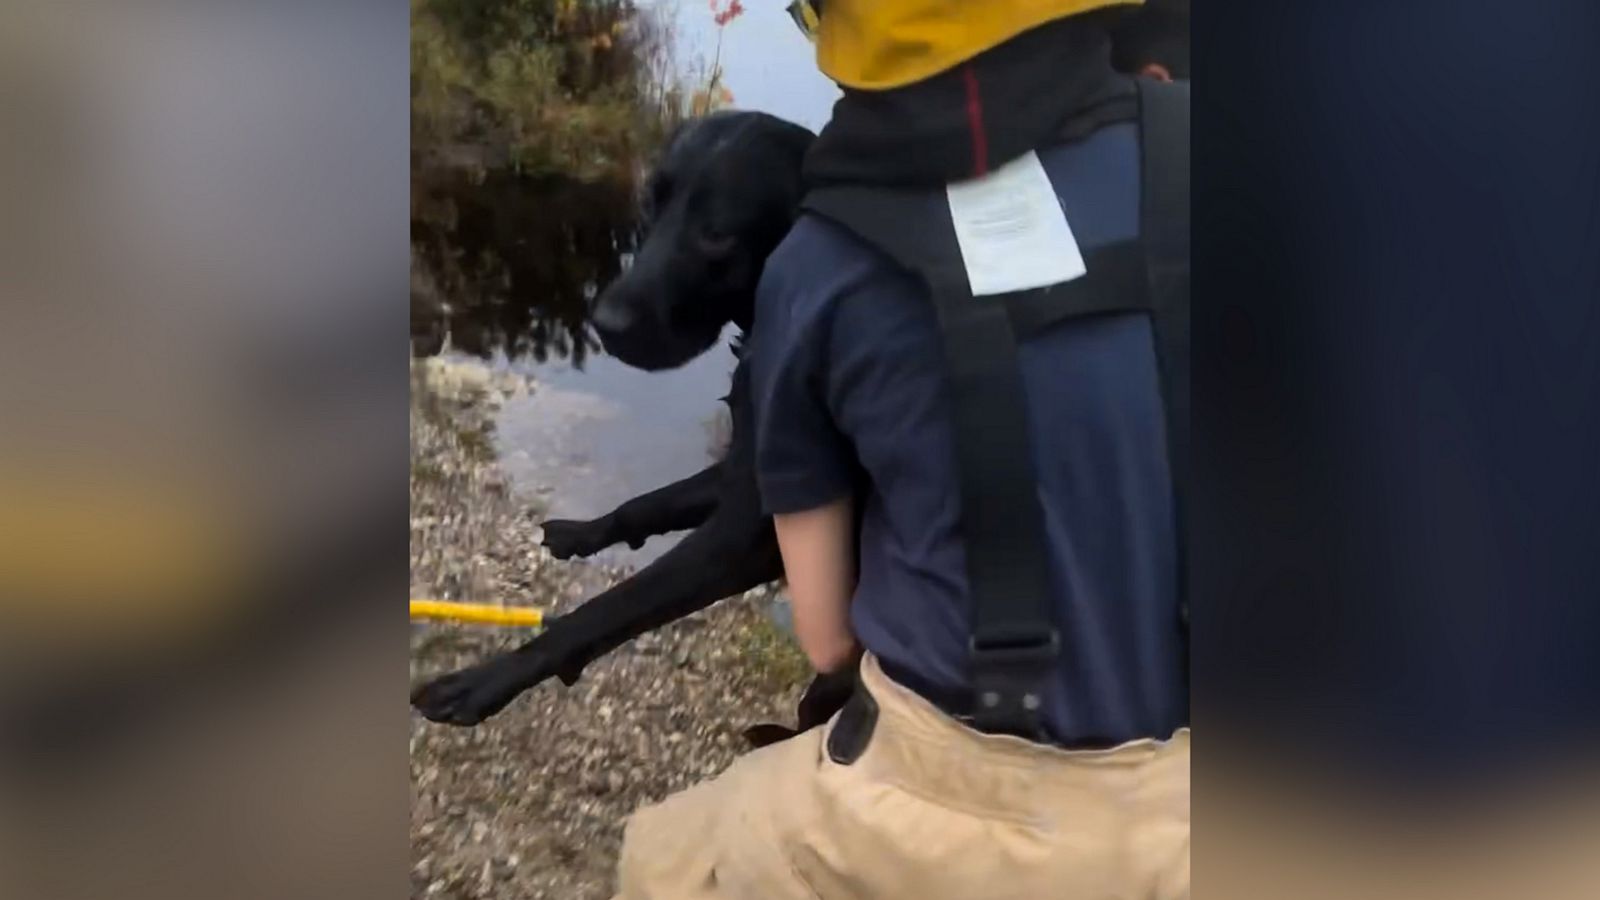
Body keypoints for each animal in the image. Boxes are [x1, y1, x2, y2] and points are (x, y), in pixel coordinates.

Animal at [412, 110, 864, 736]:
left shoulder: (748, 535)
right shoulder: (736, 477)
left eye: (718, 234)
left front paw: (489, 679)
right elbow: (646, 503)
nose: (604, 324)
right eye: (651, 204)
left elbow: (609, 607)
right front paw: (584, 532)